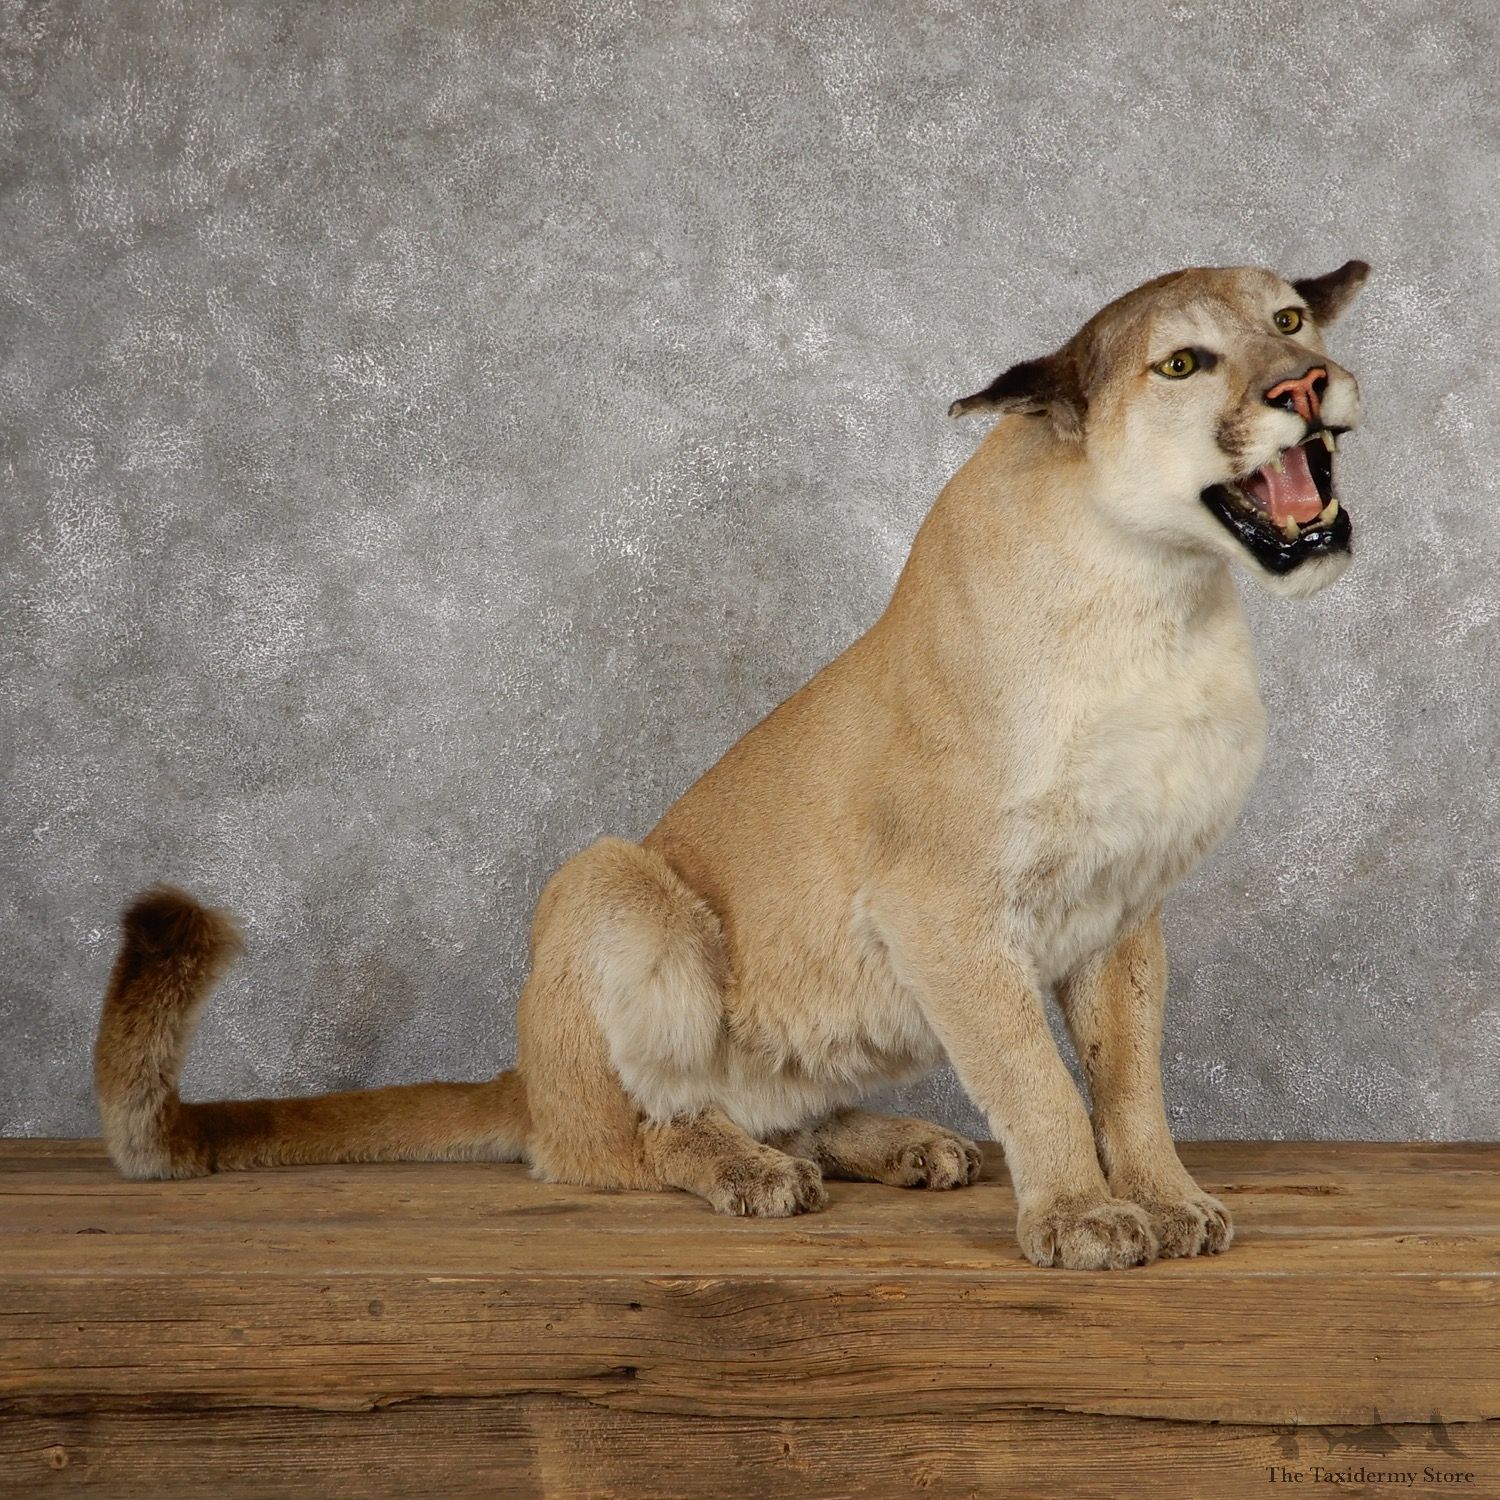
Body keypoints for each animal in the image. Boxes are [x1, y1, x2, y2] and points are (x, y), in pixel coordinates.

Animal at [94, 259, 1369, 1269]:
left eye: (1292, 319)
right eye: (1186, 363)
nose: (1305, 387)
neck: (1165, 597)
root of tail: (524, 1072)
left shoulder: (1123, 903)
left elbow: (1128, 1075)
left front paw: (1165, 1198)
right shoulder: (946, 907)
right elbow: (1036, 1076)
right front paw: (1081, 1217)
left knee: (770, 1102)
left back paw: (896, 1142)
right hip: (606, 879)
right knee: (612, 1138)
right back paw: (750, 1171)